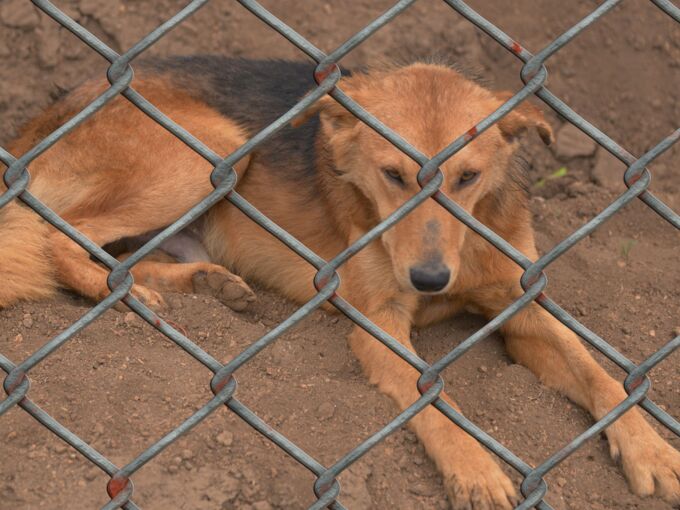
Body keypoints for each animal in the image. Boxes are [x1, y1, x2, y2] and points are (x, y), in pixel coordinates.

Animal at [1, 57, 680, 508]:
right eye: (392, 174)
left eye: (466, 178)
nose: (429, 278)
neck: (462, 247)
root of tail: (40, 121)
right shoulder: (378, 322)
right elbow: (436, 400)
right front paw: (475, 469)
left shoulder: (523, 307)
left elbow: (600, 376)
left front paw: (652, 451)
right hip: (211, 153)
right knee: (59, 236)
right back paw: (117, 293)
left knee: (121, 250)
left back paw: (208, 283)